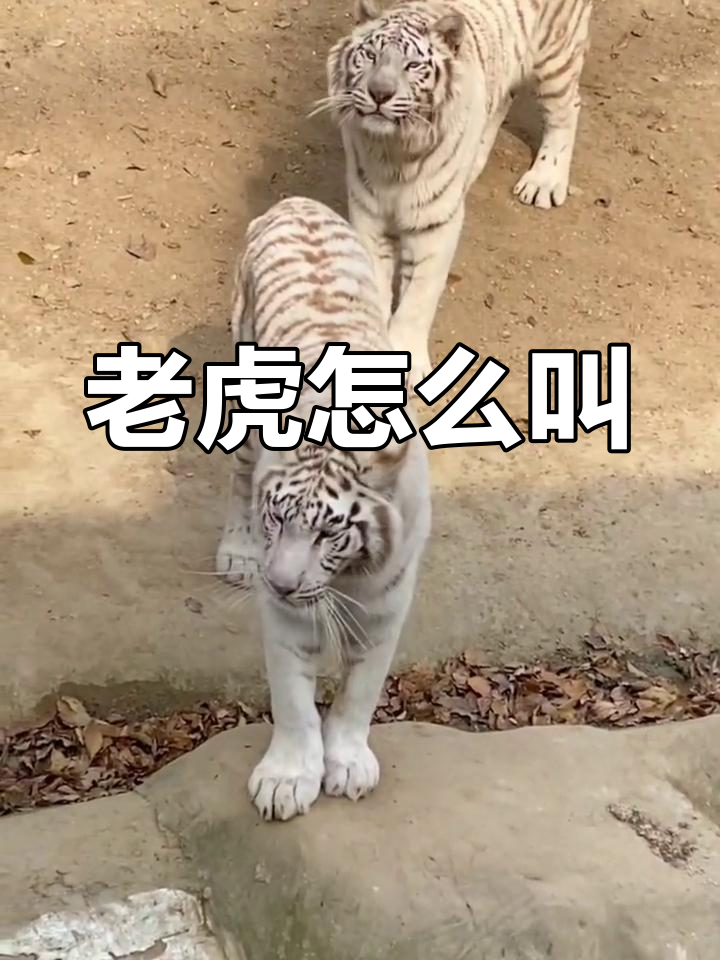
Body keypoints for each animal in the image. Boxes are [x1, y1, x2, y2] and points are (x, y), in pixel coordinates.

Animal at [215, 195, 431, 822]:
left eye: (330, 533)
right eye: (277, 518)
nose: (280, 583)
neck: (348, 577)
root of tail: (297, 203)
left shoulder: (386, 608)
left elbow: (361, 691)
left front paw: (350, 764)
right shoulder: (286, 618)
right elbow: (292, 699)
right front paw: (287, 780)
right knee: (237, 477)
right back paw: (235, 552)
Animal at [324, 0, 593, 386]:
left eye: (412, 66)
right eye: (370, 56)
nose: (379, 93)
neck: (394, 151)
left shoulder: (434, 227)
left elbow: (418, 300)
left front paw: (409, 361)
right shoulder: (368, 215)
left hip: (556, 54)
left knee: (567, 107)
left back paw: (544, 180)